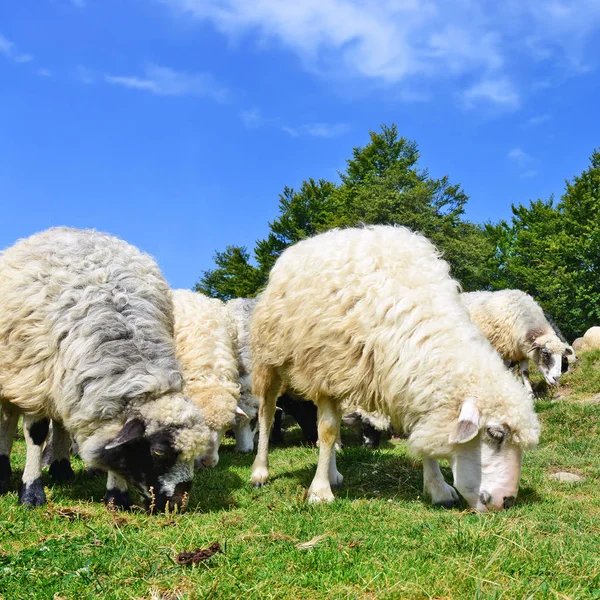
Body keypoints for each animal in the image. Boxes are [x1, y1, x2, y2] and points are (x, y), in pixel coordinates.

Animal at [0, 227, 210, 508]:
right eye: (158, 451)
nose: (177, 504)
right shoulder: (34, 379)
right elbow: (36, 433)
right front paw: (31, 493)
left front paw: (117, 497)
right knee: (8, 418)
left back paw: (61, 469)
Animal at [248, 225, 540, 510]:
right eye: (494, 433)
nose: (507, 501)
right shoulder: (327, 370)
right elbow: (327, 431)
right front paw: (320, 492)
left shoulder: (404, 381)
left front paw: (437, 487)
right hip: (271, 360)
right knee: (268, 413)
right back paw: (261, 471)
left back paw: (332, 473)